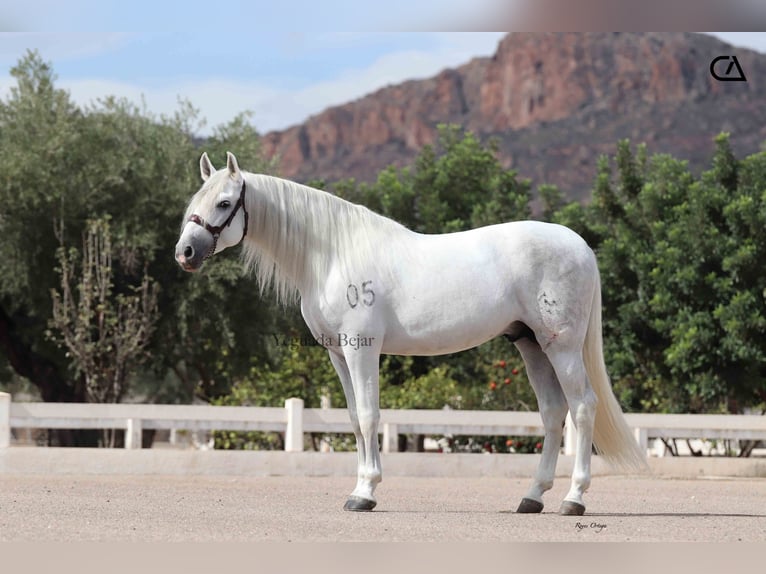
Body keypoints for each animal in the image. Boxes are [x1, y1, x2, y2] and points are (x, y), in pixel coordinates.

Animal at [177, 151, 652, 516]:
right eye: (194, 202)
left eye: (224, 202)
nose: (185, 253)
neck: (334, 254)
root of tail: (581, 246)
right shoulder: (338, 354)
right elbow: (354, 419)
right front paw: (359, 488)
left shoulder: (362, 349)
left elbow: (370, 415)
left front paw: (365, 494)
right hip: (530, 344)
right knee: (553, 413)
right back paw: (532, 498)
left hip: (562, 346)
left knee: (583, 407)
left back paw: (574, 499)